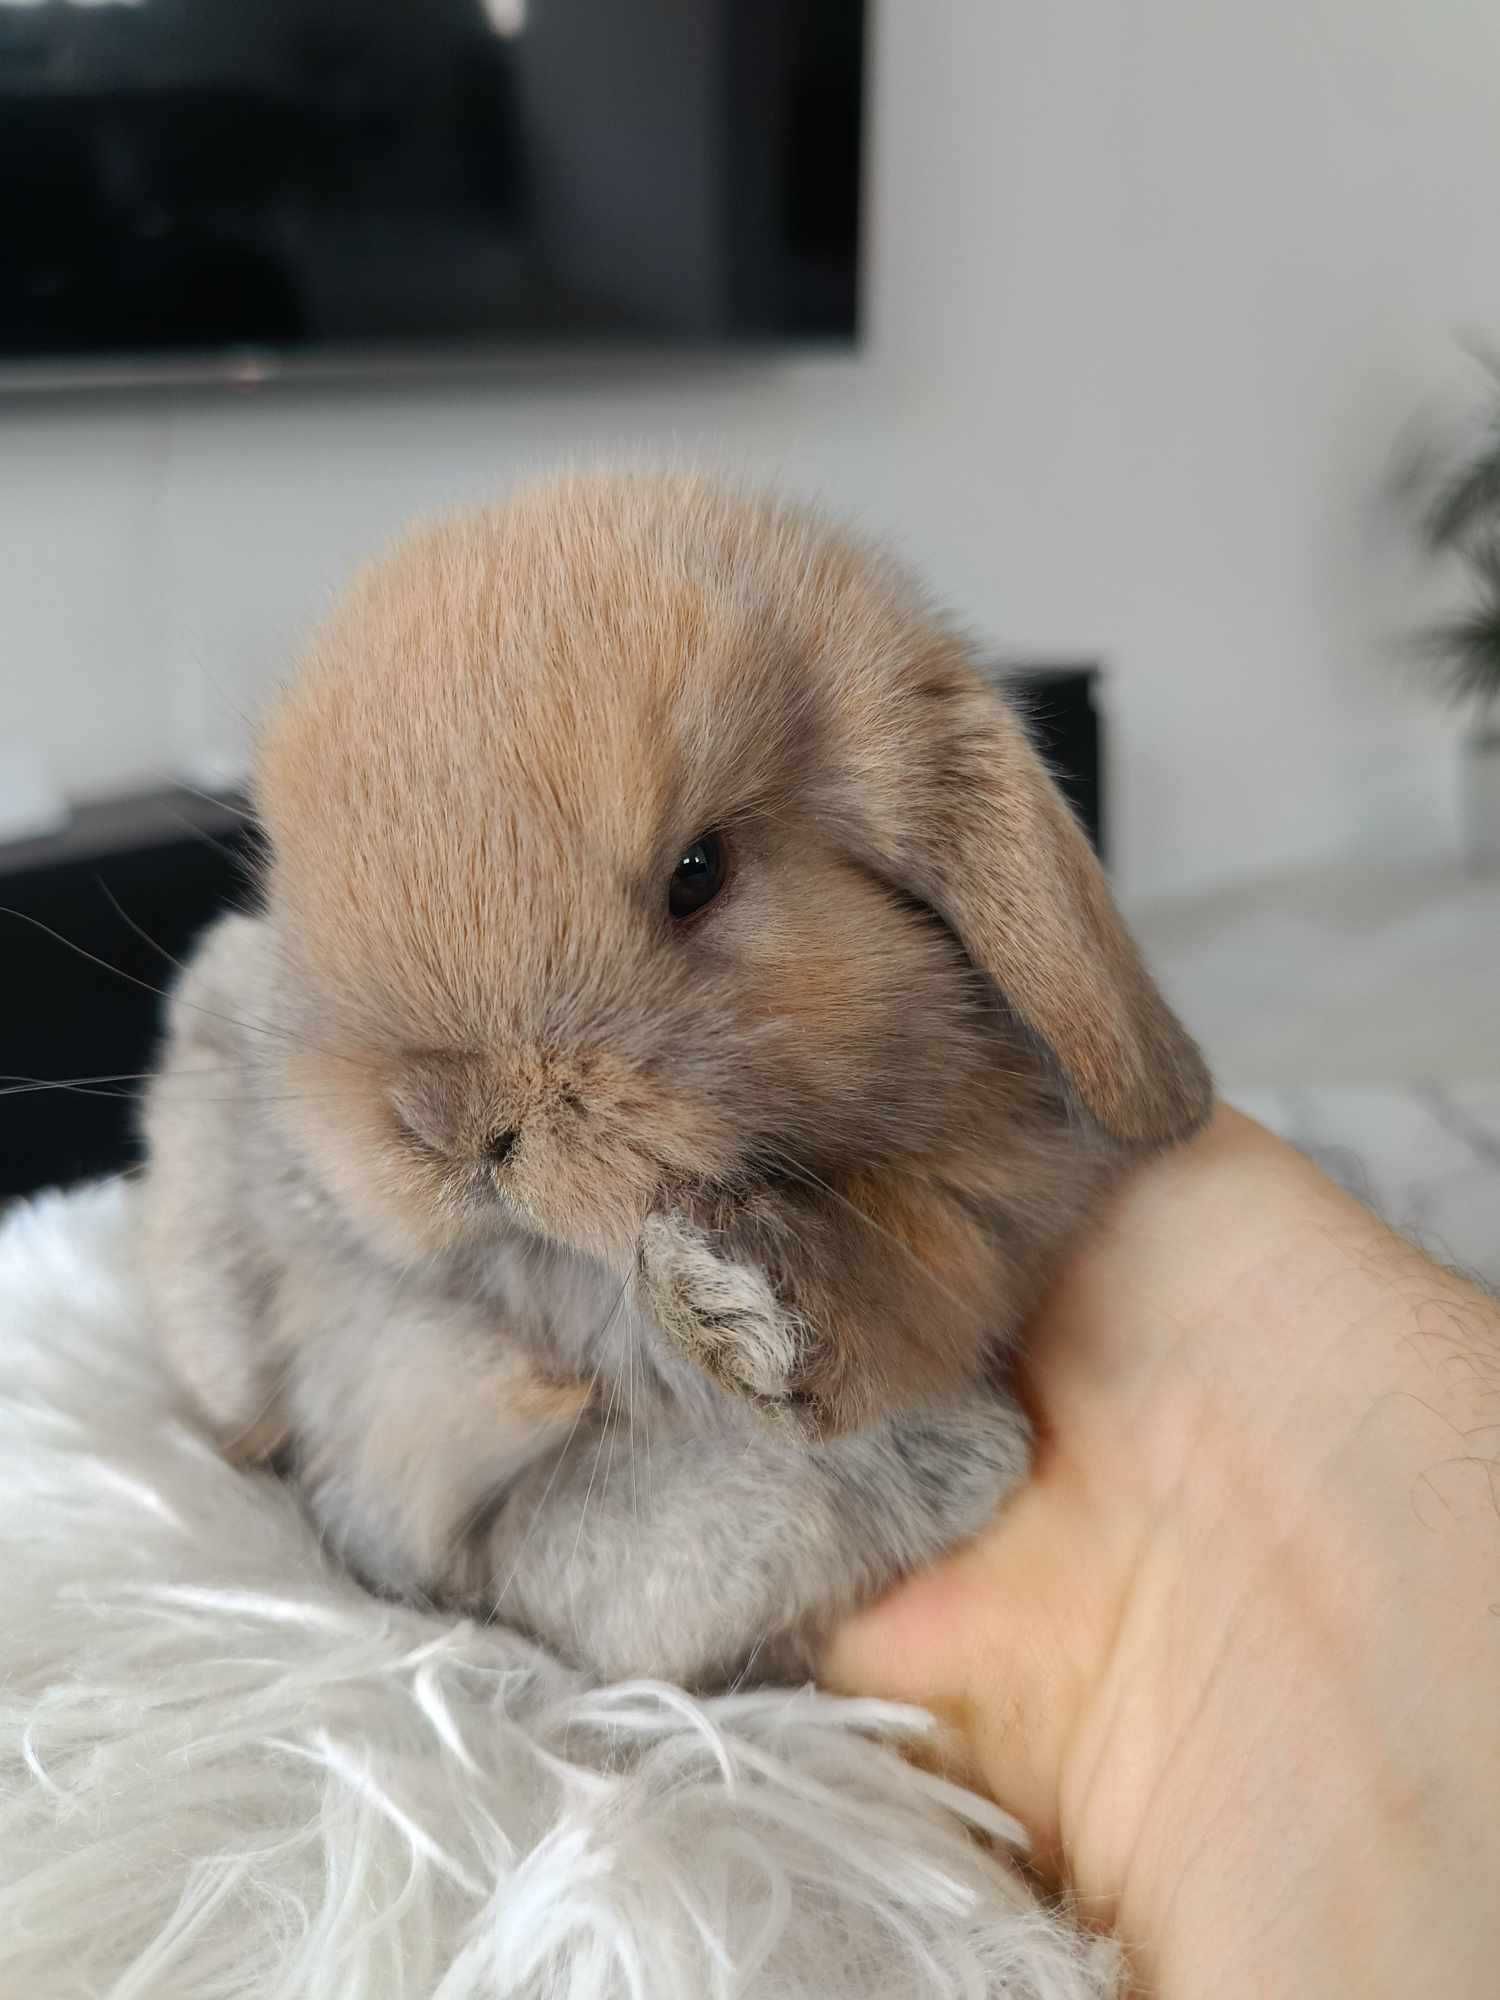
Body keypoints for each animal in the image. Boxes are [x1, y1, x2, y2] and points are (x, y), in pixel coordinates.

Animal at [141, 472, 1216, 1688]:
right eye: (294, 894)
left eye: (699, 872)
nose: (445, 1121)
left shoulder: (978, 1223)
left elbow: (890, 1305)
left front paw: (731, 1301)